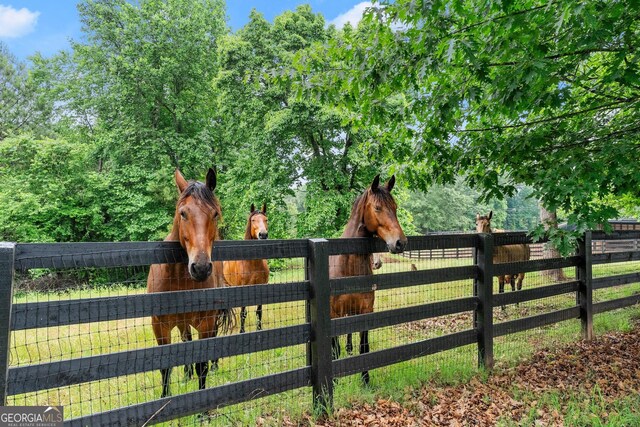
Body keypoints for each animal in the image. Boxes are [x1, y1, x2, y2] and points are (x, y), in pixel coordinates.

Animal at [146, 169, 234, 400]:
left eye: (215, 214)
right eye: (183, 213)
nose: (201, 267)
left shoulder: (206, 322)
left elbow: (201, 364)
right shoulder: (159, 325)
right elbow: (166, 366)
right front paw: (165, 398)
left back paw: (214, 366)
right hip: (182, 322)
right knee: (186, 341)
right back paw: (186, 375)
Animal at [224, 204, 268, 334]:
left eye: (266, 219)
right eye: (253, 220)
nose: (263, 235)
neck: (252, 264)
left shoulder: (261, 287)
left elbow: (259, 312)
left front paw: (259, 329)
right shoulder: (243, 288)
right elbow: (243, 313)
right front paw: (242, 332)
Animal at [332, 174, 408, 384]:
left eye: (395, 207)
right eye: (377, 208)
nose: (400, 242)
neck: (349, 268)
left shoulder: (365, 310)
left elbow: (364, 347)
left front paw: (365, 379)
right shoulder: (334, 313)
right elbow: (334, 347)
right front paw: (334, 381)